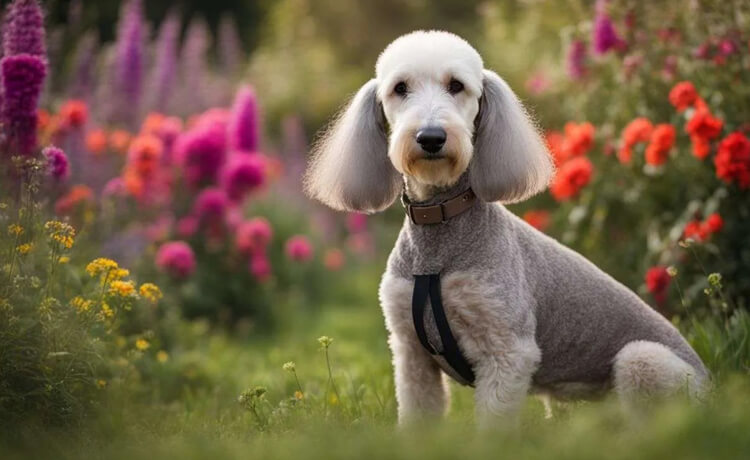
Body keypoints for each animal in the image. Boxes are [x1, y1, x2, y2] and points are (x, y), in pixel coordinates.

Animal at [302, 30, 708, 424]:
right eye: (400, 88)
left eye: (456, 86)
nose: (431, 138)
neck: (440, 225)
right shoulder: (411, 353)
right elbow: (419, 416)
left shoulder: (507, 351)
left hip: (642, 361)